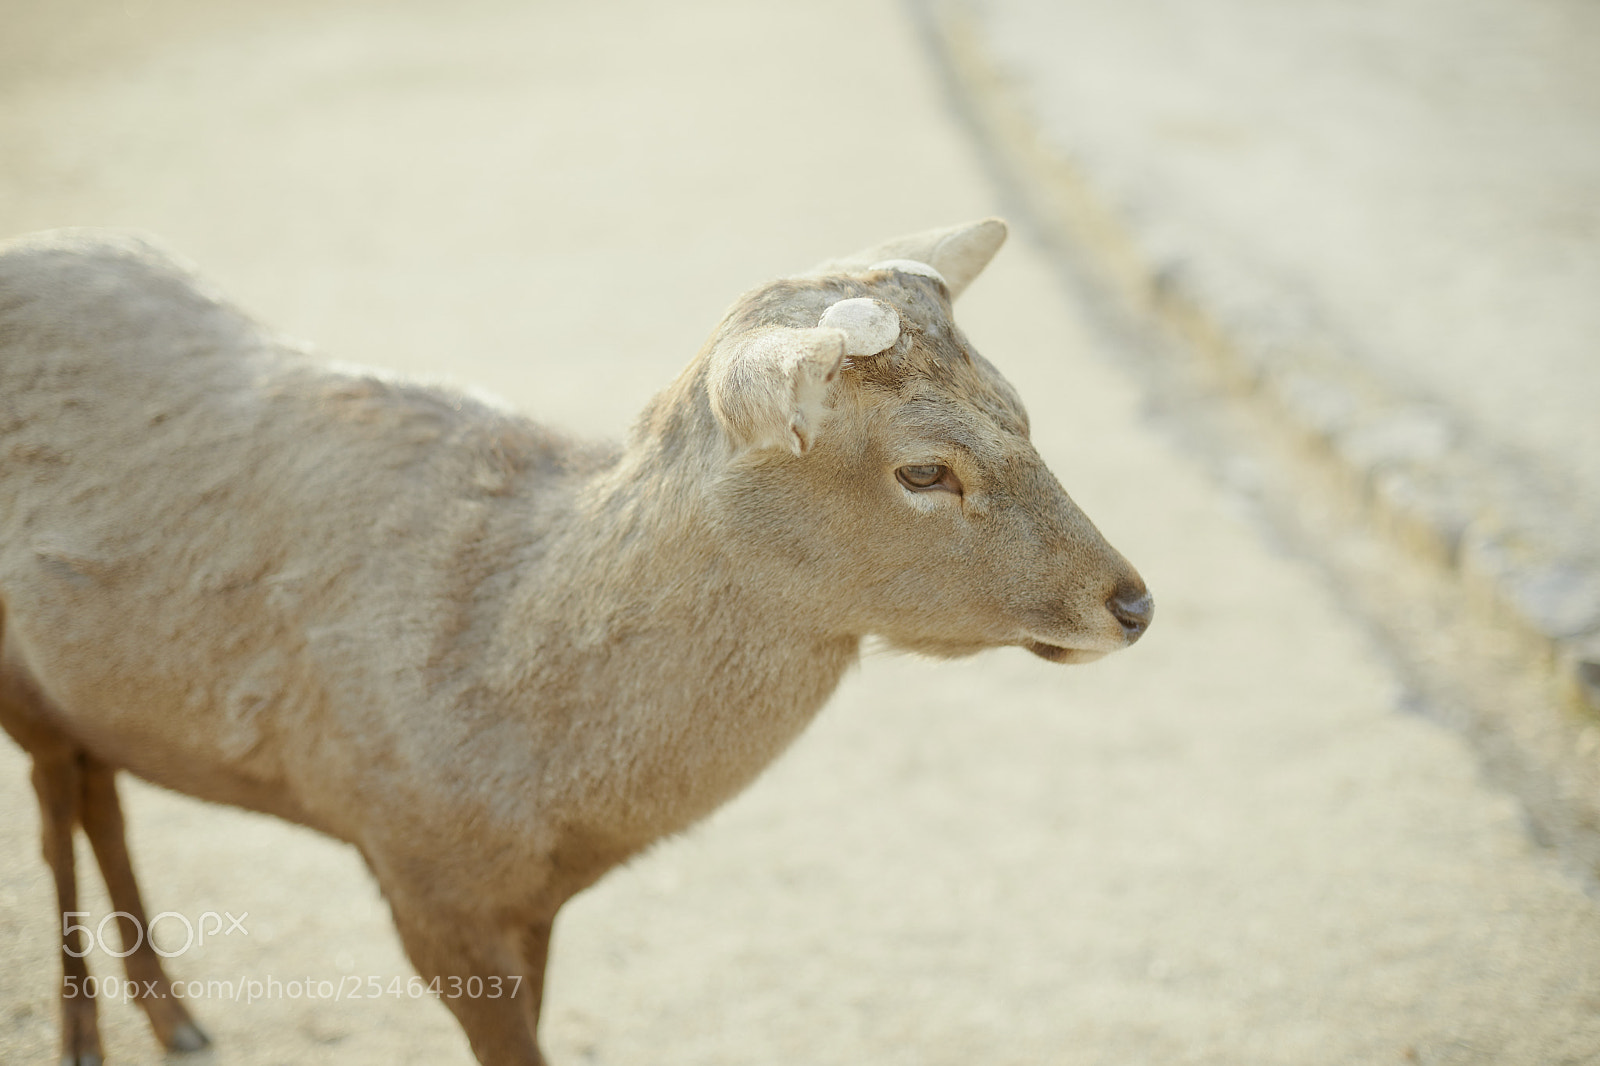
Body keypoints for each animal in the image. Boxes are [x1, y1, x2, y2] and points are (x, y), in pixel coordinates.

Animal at [0, 218, 1152, 1065]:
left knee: (98, 783)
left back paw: (177, 1019)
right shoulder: (415, 869)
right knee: (58, 802)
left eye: (1020, 408)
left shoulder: (530, 904)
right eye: (923, 468)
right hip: (17, 679)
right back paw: (88, 1037)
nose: (1131, 601)